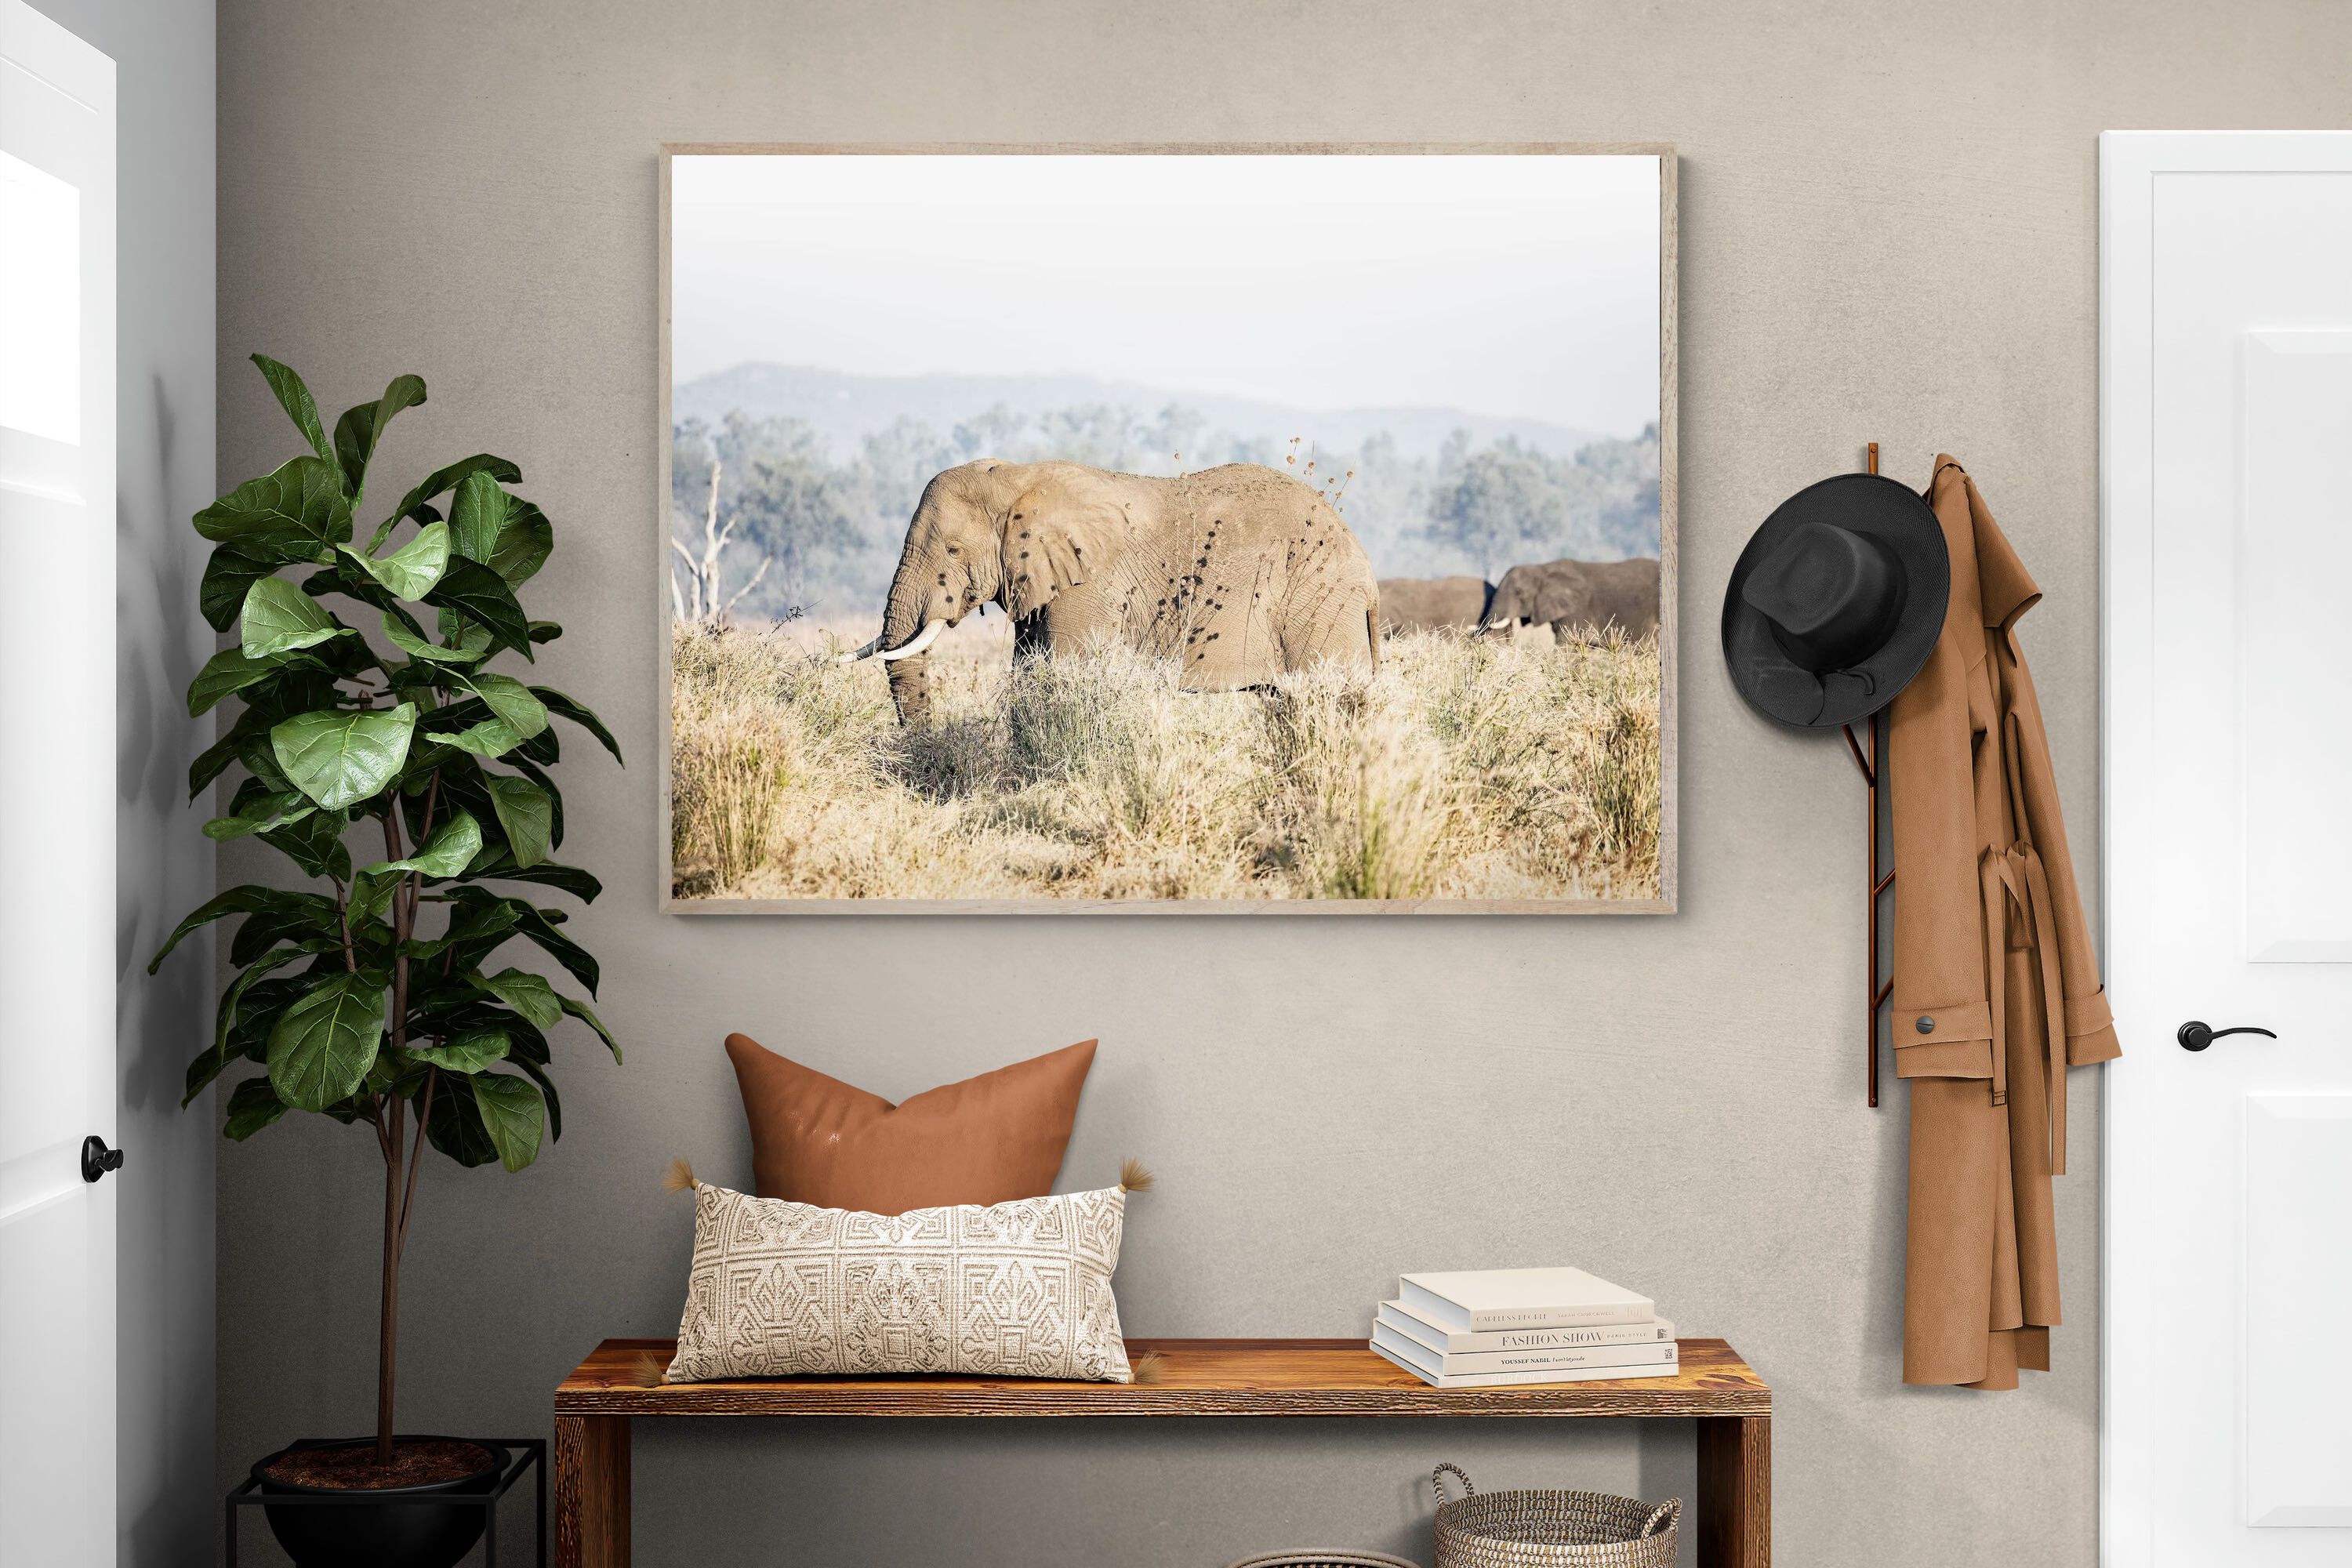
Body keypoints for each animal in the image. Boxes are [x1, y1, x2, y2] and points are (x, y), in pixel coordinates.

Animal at [841, 459, 1381, 724]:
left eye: (952, 550)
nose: (925, 758)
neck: (1018, 477)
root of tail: (1367, 573)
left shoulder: (1090, 584)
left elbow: (1063, 673)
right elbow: (1028, 674)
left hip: (1319, 604)